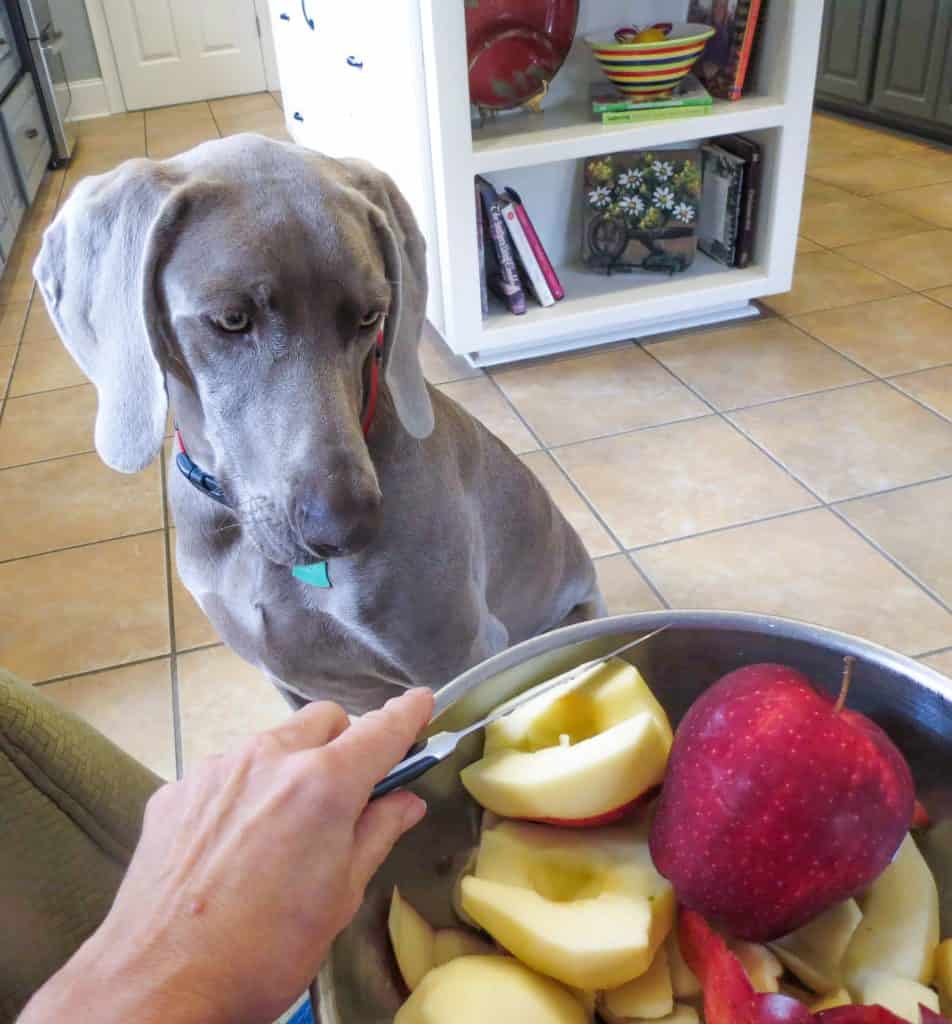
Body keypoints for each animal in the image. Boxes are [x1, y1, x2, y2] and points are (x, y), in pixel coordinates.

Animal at [37, 134, 606, 712]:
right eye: (231, 319)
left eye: (370, 316)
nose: (345, 529)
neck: (246, 539)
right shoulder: (291, 684)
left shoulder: (463, 653)